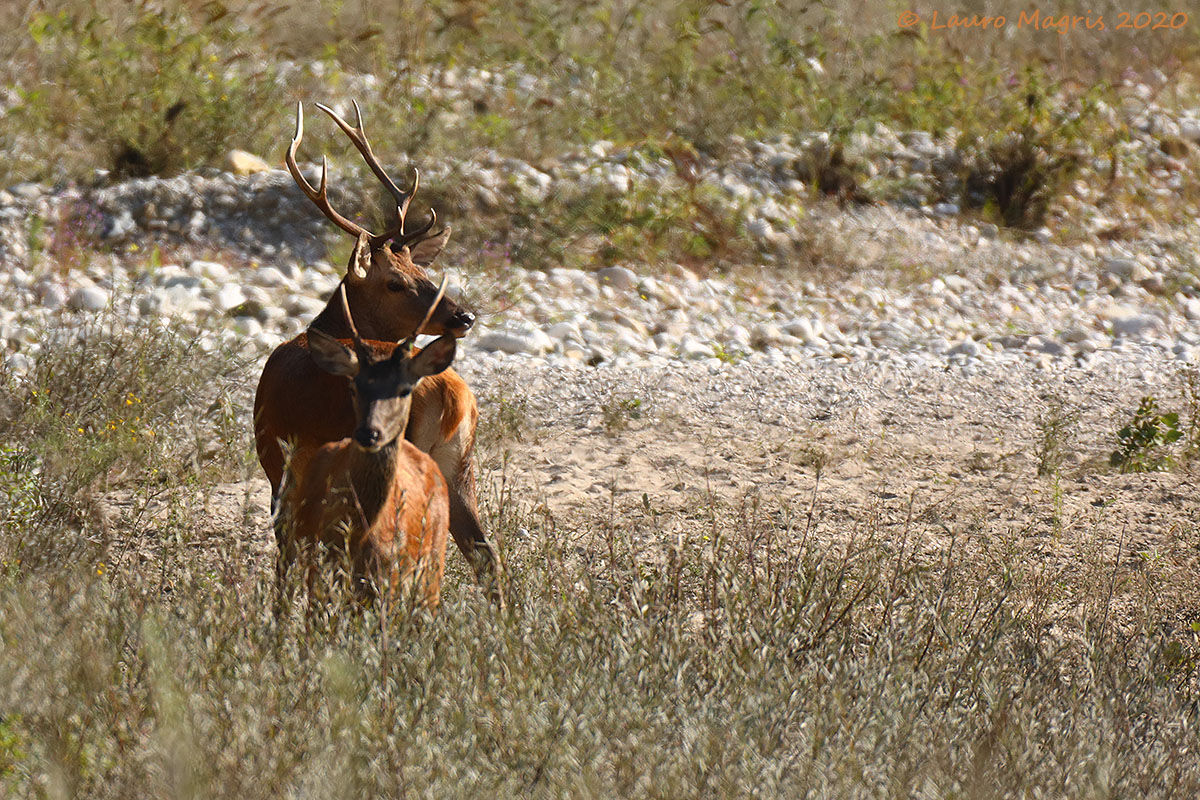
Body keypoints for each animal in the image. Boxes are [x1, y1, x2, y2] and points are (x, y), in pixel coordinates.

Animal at [277, 282, 454, 608]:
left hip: (433, 559)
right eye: (353, 385)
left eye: (405, 389)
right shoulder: (318, 560)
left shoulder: (387, 575)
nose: (368, 433)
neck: (360, 532)